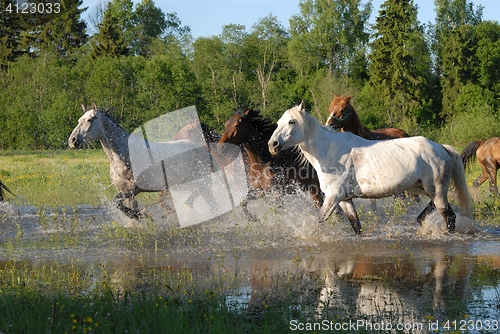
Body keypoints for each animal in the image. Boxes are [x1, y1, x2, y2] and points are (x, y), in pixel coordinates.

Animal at [68, 103, 219, 220]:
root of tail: (203, 151)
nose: (72, 141)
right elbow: (125, 208)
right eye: (79, 120)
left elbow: (116, 202)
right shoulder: (127, 192)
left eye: (90, 119)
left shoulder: (132, 190)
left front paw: (141, 214)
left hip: (202, 184)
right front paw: (138, 216)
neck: (122, 156)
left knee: (212, 204)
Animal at [266, 102, 472, 235]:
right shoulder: (345, 199)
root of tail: (441, 147)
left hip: (436, 190)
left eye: (292, 122)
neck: (330, 150)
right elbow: (356, 226)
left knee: (450, 217)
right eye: (278, 123)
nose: (272, 145)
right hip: (426, 189)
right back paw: (421, 221)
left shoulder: (333, 197)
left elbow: (320, 220)